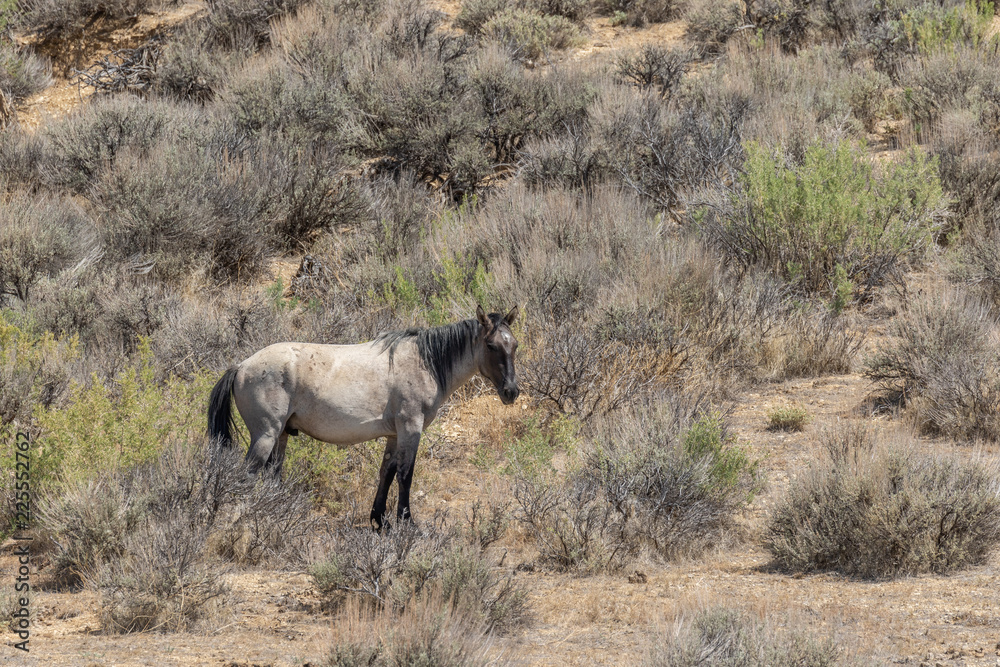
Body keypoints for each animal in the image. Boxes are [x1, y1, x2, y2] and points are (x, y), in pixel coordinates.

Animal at [211, 306, 524, 528]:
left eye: (515, 345)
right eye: (492, 346)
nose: (511, 391)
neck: (425, 363)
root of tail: (241, 366)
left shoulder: (394, 435)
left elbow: (387, 472)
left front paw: (380, 520)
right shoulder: (411, 429)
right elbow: (406, 474)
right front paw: (407, 522)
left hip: (281, 436)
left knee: (273, 474)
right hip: (265, 435)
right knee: (248, 474)